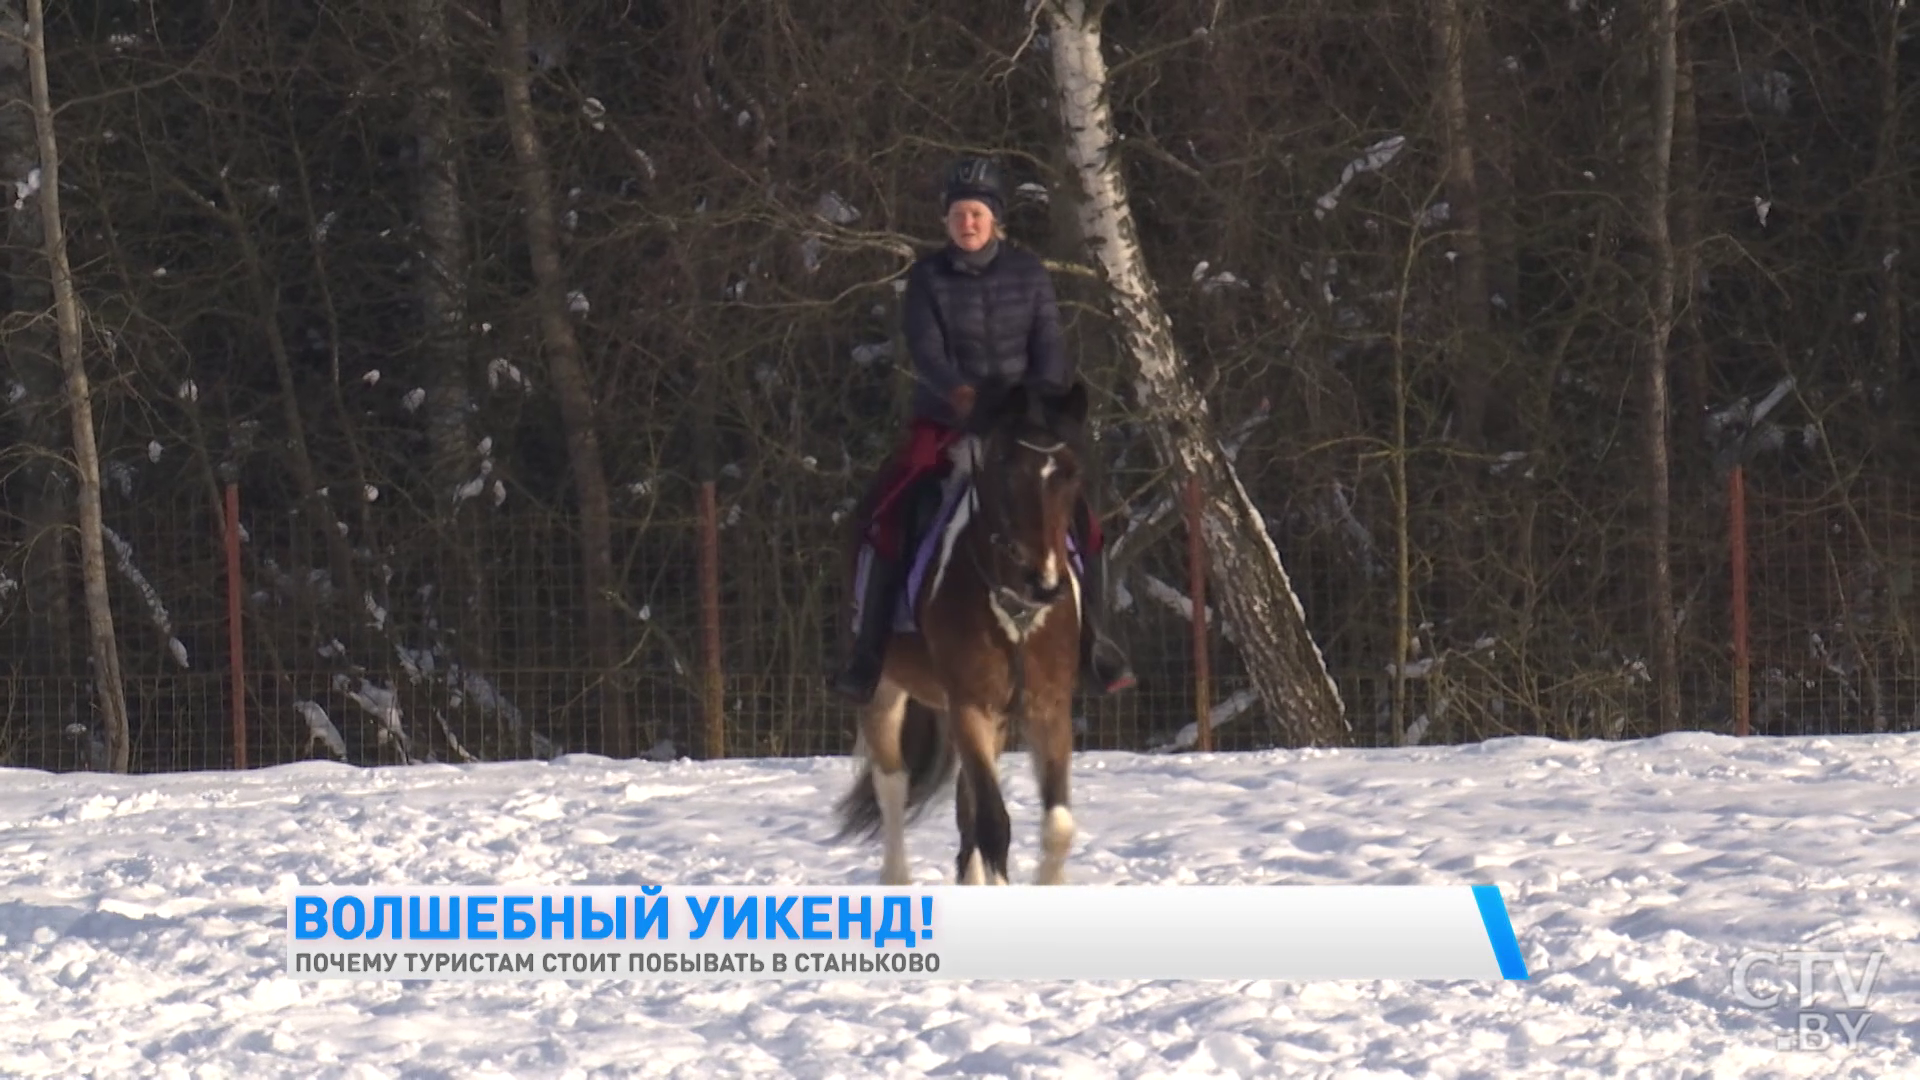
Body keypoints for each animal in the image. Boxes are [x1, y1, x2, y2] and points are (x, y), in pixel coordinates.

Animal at [829, 378, 1090, 883]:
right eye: (1004, 468)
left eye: (1070, 473)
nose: (1044, 583)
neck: (1014, 611)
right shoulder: (970, 705)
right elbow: (994, 826)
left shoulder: (1048, 709)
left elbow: (1058, 826)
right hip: (885, 692)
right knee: (893, 786)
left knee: (963, 806)